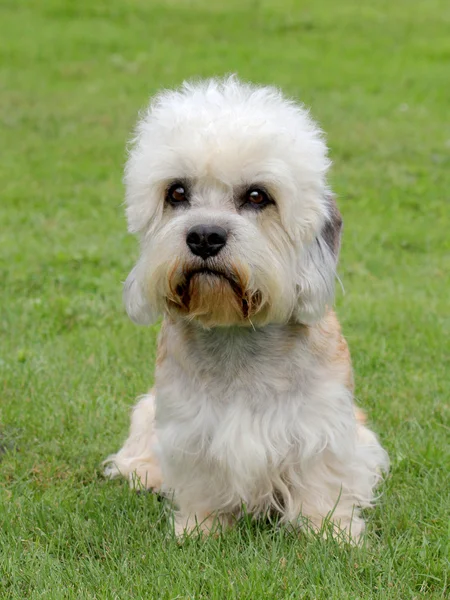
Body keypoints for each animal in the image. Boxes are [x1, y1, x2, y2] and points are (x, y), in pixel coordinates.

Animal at [103, 75, 388, 540]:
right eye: (176, 192)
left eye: (257, 196)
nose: (204, 236)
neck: (235, 331)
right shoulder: (188, 428)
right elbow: (202, 481)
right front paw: (199, 527)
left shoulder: (324, 425)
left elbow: (322, 481)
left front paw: (331, 532)